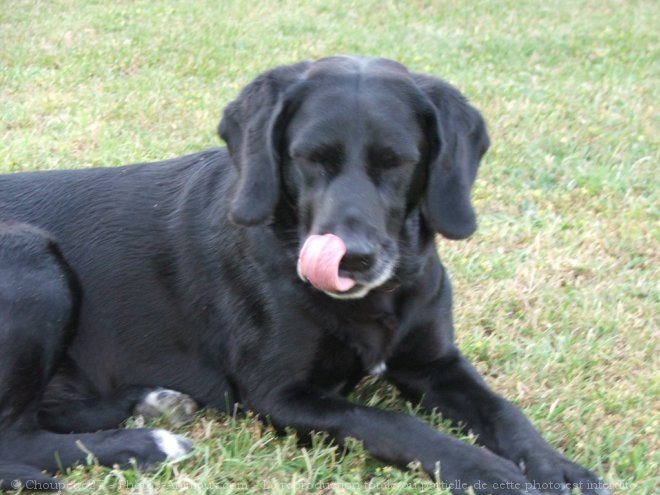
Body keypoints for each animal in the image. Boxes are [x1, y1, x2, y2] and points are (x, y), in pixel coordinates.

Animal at [0, 56, 608, 494]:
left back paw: (149, 403)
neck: (373, 302)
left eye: (399, 162)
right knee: (17, 439)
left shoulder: (435, 363)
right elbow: (390, 423)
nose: (352, 258)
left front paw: (559, 468)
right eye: (309, 157)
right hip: (33, 258)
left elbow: (506, 411)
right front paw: (482, 469)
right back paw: (147, 444)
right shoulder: (280, 395)